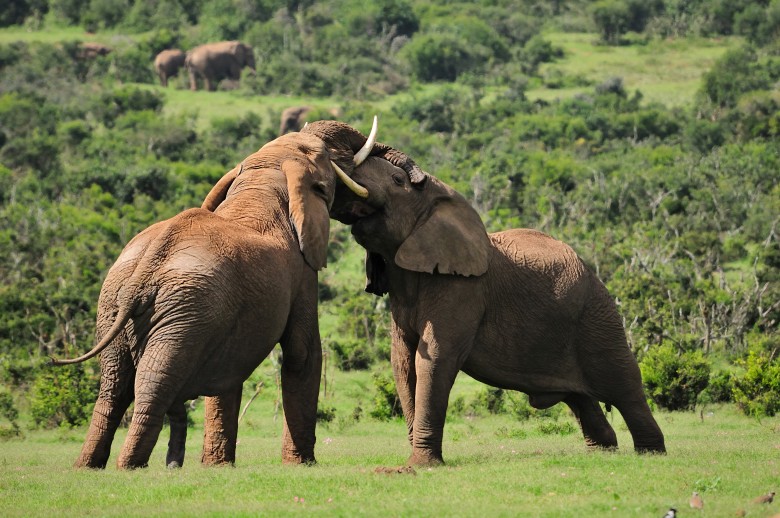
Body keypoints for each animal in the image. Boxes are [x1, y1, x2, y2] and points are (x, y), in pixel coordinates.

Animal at [51, 125, 374, 472]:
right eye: (321, 153)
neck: (263, 182)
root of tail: (147, 266)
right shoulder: (302, 272)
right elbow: (303, 354)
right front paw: (301, 465)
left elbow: (229, 372)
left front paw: (217, 466)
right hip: (185, 313)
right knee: (152, 387)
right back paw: (131, 468)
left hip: (116, 304)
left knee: (114, 388)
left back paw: (91, 466)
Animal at [326, 136, 668, 470]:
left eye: (397, 180)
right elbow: (402, 361)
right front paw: (411, 463)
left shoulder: (463, 288)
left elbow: (436, 358)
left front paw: (418, 467)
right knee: (581, 398)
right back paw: (603, 453)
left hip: (597, 315)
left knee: (624, 385)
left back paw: (651, 454)